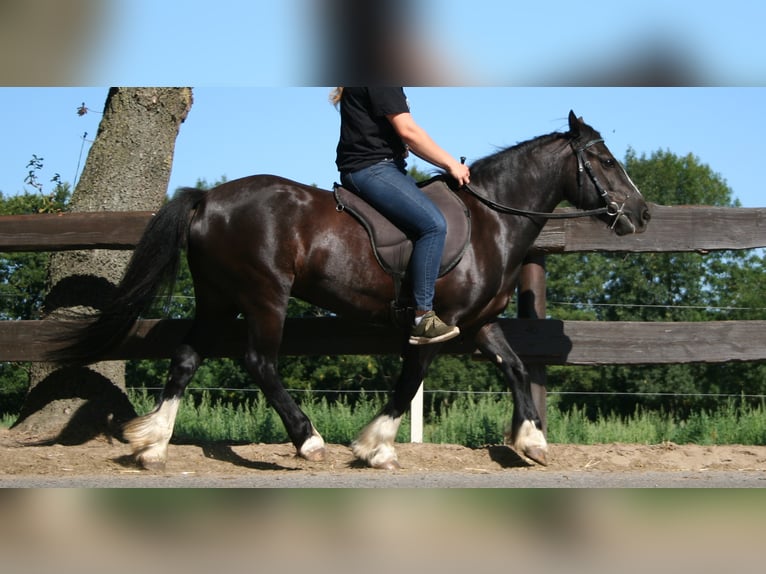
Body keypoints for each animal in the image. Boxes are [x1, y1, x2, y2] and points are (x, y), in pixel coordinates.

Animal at [51, 112, 652, 472]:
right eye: (603, 161)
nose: (643, 214)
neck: (490, 221)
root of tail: (208, 199)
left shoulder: (480, 322)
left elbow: (517, 368)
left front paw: (531, 442)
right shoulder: (434, 324)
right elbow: (409, 382)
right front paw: (374, 447)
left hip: (217, 299)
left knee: (186, 357)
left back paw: (152, 443)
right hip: (265, 296)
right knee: (259, 361)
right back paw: (307, 439)